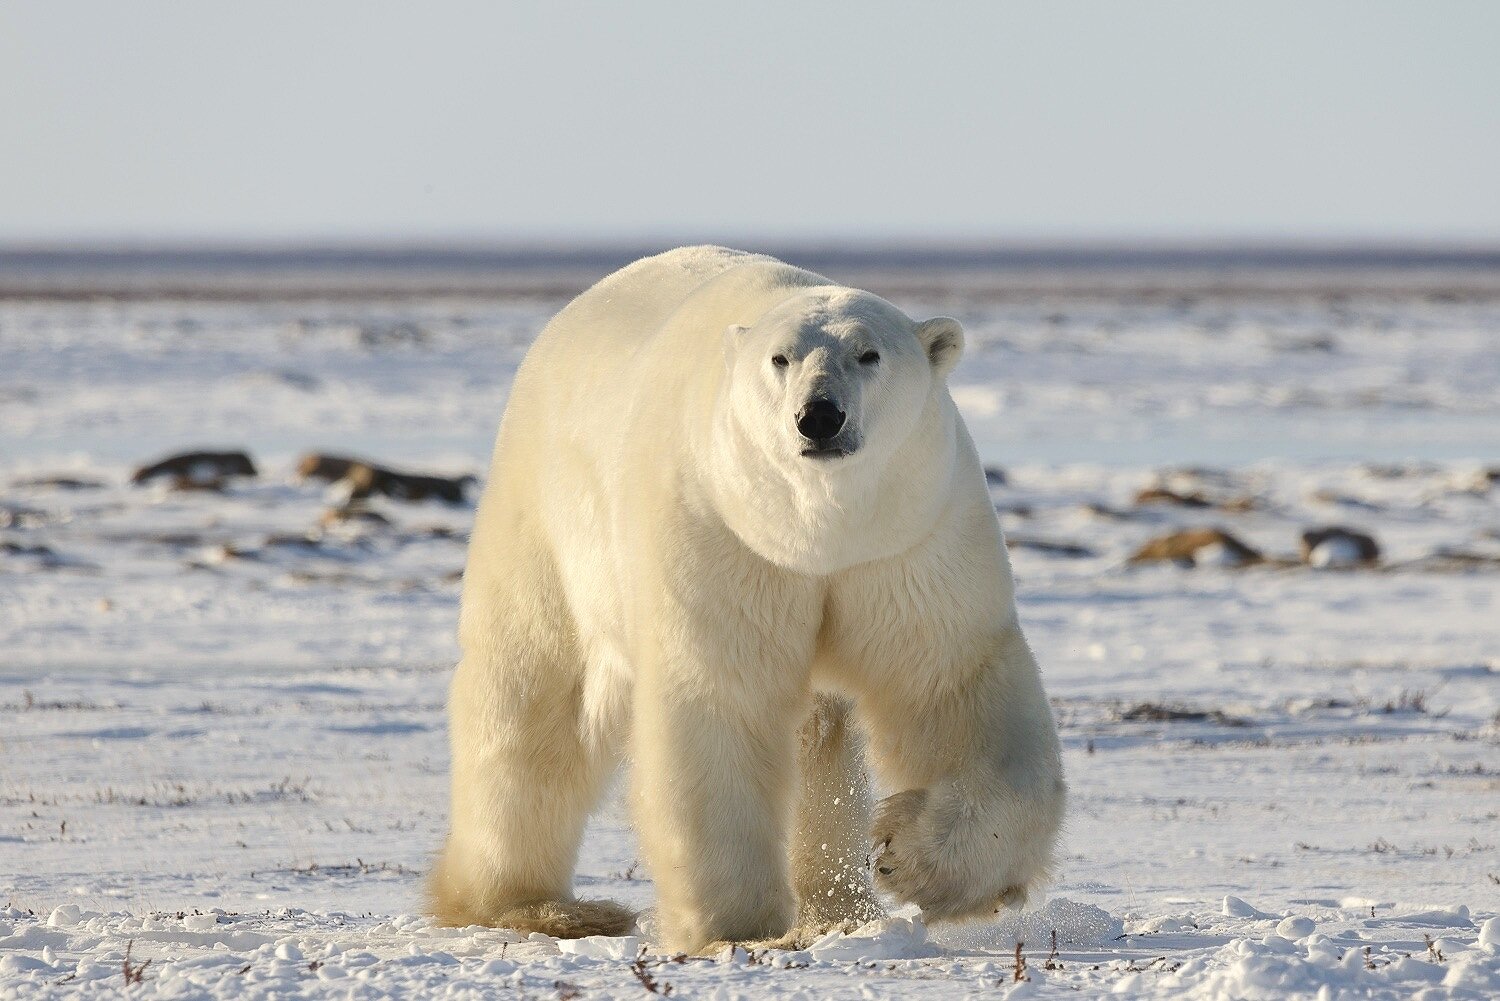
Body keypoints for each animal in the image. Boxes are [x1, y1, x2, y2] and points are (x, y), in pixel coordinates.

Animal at [429, 246, 1068, 954]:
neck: (813, 534)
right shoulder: (722, 531)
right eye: (781, 358)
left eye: (869, 353)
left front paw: (908, 856)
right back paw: (536, 907)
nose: (819, 417)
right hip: (551, 518)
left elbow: (952, 681)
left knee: (816, 737)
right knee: (533, 698)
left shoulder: (907, 539)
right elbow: (721, 697)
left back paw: (837, 913)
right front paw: (736, 929)